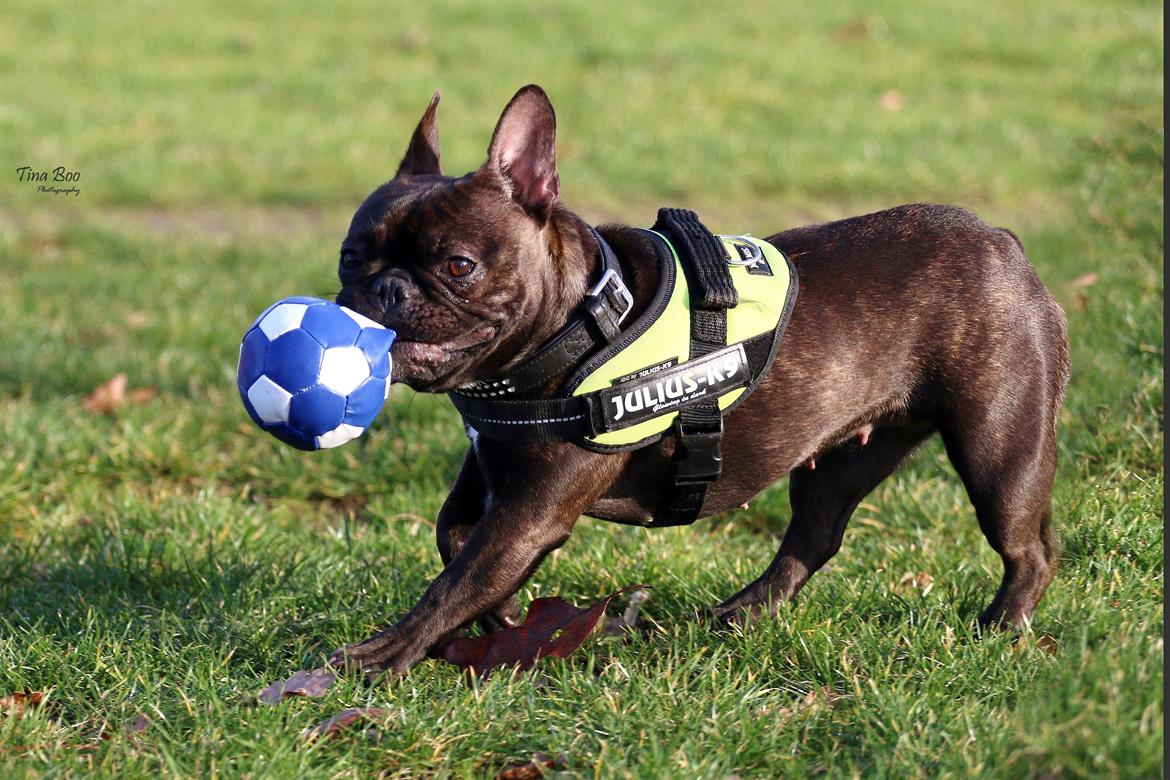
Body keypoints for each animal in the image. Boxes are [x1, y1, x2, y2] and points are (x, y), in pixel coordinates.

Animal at [329, 84, 1071, 678]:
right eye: (350, 256)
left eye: (458, 266)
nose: (386, 289)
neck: (581, 319)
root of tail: (1003, 243)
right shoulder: (494, 471)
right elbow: (455, 540)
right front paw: (507, 623)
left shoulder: (531, 510)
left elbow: (456, 580)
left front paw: (383, 654)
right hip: (842, 457)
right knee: (813, 537)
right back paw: (743, 613)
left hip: (999, 445)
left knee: (1028, 548)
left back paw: (1001, 628)